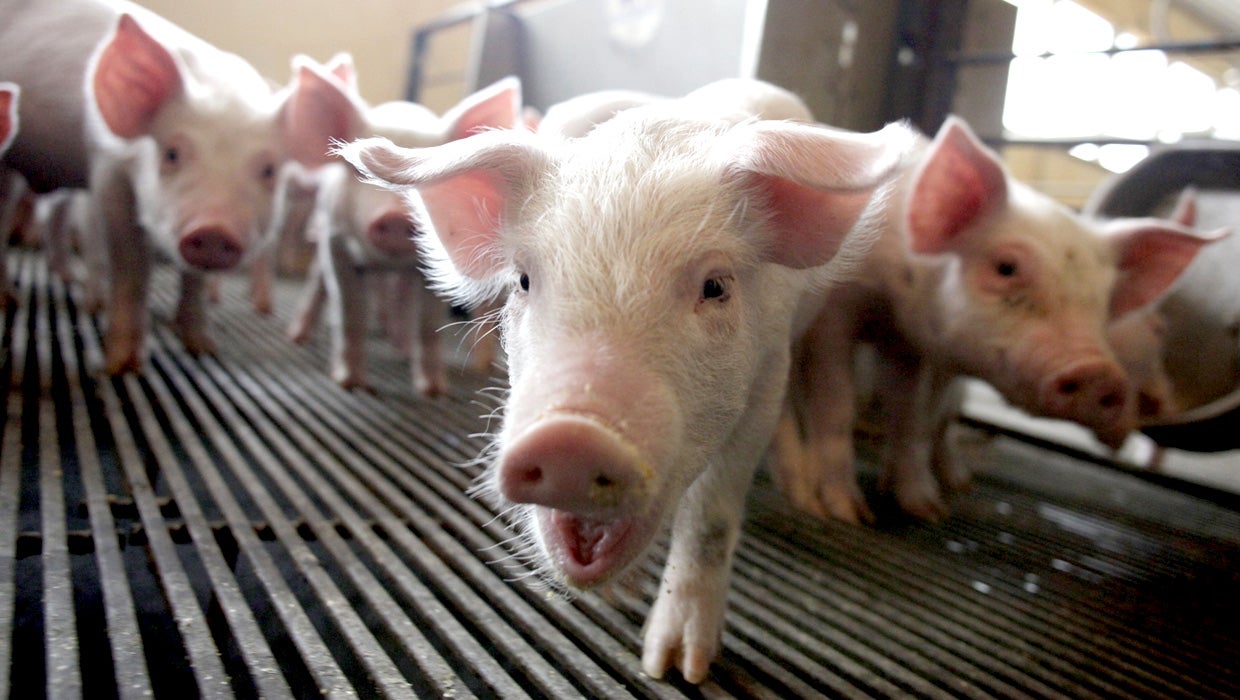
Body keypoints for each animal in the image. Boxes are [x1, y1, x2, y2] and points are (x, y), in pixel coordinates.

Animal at [288, 78, 523, 396]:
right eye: (357, 170)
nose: (396, 217)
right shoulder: (337, 242)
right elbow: (351, 314)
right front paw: (349, 383)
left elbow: (427, 325)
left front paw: (433, 390)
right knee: (318, 282)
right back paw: (298, 337)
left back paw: (402, 347)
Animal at [338, 78, 917, 683]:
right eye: (523, 280)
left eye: (715, 286)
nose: (571, 437)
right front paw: (622, 601)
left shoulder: (764, 375)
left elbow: (711, 514)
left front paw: (676, 668)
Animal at [771, 116, 1221, 524]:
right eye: (1006, 268)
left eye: (1104, 299)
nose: (1100, 373)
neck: (892, 294)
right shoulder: (836, 311)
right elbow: (836, 404)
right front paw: (849, 516)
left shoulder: (912, 344)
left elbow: (911, 415)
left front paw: (929, 511)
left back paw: (958, 483)